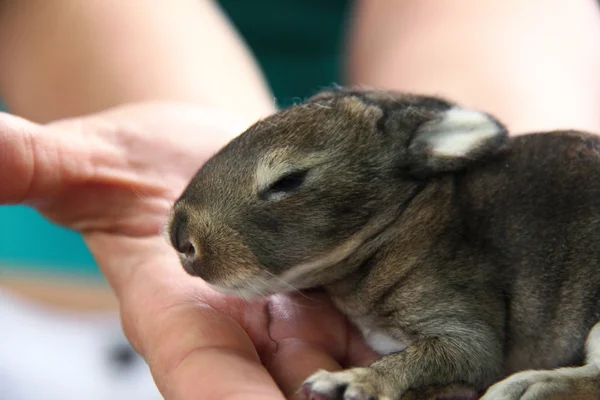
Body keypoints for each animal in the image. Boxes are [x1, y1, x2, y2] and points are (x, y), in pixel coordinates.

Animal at [164, 88, 600, 400]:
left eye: (288, 181)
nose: (180, 238)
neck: (402, 220)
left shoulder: (465, 319)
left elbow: (449, 355)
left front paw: (349, 384)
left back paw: (522, 387)